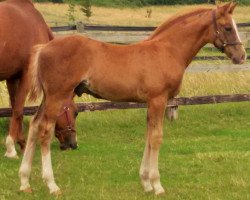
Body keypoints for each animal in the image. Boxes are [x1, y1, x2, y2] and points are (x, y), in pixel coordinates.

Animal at [0, 0, 77, 158]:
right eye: (75, 112)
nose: (73, 144)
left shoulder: (12, 77)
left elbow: (15, 108)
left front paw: (21, 142)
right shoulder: (27, 75)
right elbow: (18, 110)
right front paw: (11, 148)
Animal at [19, 2, 246, 195]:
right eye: (228, 28)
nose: (241, 56)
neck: (168, 50)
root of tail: (43, 48)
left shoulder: (150, 103)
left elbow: (148, 136)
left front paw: (146, 183)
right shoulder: (158, 100)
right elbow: (156, 137)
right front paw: (157, 185)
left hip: (49, 97)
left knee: (34, 125)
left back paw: (24, 182)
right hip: (58, 95)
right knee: (45, 131)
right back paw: (51, 185)